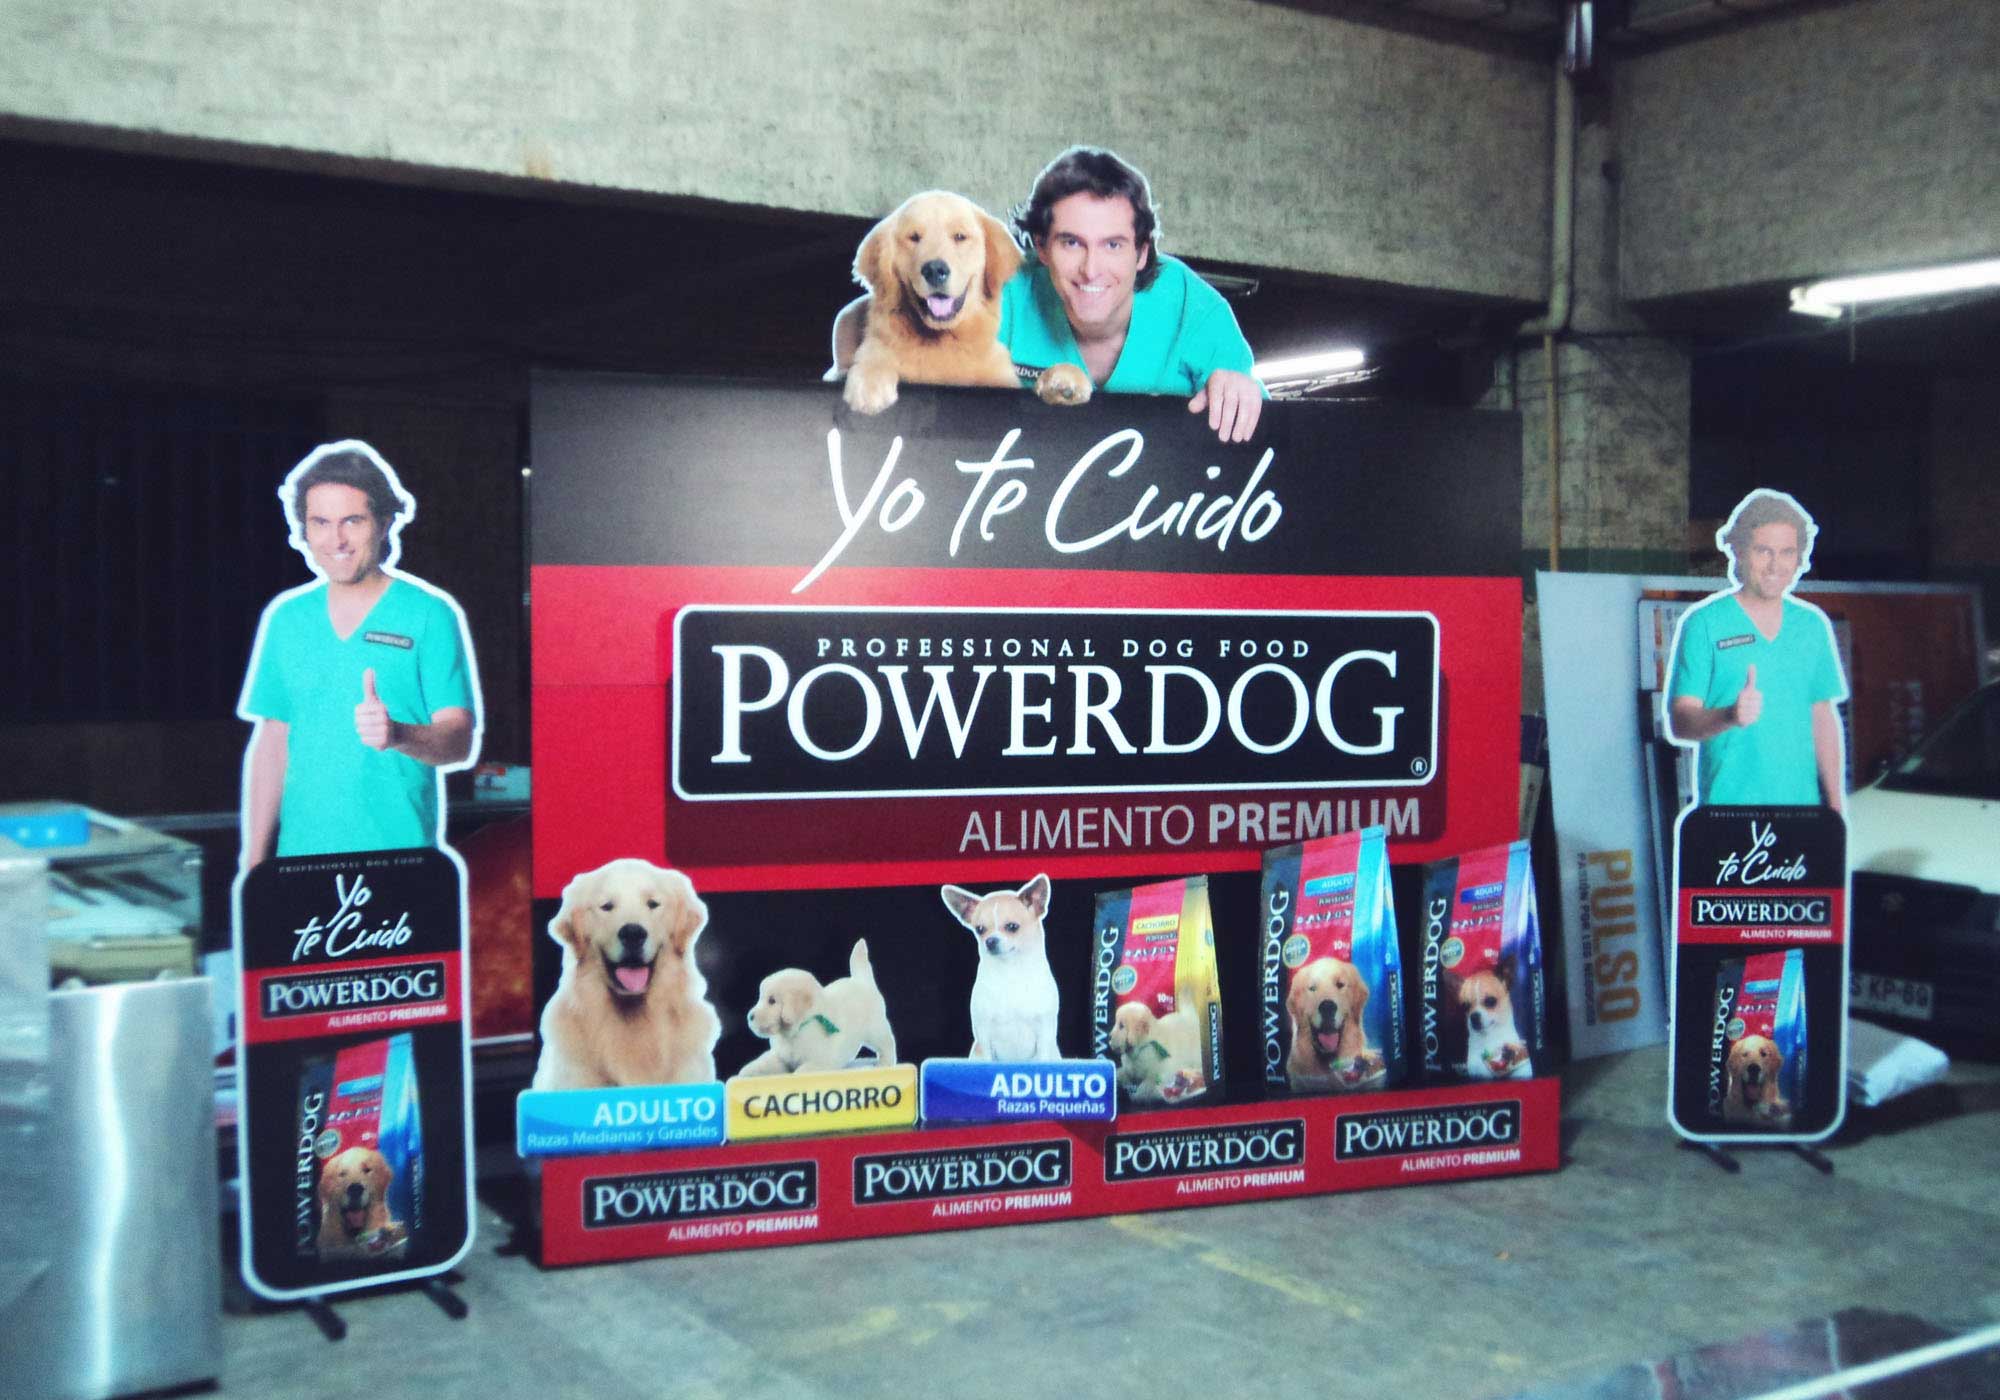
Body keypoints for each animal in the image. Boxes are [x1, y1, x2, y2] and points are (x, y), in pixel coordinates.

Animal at [736, 939, 898, 1076]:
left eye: (772, 1001)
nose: (749, 1017)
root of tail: (862, 981)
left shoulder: (820, 1062)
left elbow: (801, 1072)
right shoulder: (780, 1057)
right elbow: (764, 1062)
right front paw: (746, 1071)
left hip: (876, 1029)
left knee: (888, 1043)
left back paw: (885, 1063)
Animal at [837, 190, 1091, 414]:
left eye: (959, 236)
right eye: (914, 237)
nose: (934, 270)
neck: (942, 340)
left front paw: (1065, 378)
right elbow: (876, 357)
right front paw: (870, 382)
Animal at [941, 873, 1061, 1061]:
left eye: (1012, 927)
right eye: (980, 929)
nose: (990, 941)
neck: (1009, 973)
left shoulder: (1044, 1033)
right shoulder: (984, 1036)